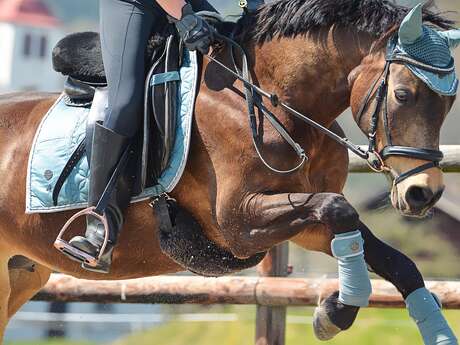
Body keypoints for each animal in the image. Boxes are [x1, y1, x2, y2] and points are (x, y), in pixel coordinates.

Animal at [0, 0, 460, 342]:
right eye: (403, 94)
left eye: (448, 103)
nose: (424, 193)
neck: (272, 104)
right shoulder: (239, 225)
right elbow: (337, 208)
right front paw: (334, 311)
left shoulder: (304, 225)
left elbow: (394, 259)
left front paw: (415, 324)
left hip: (20, 272)